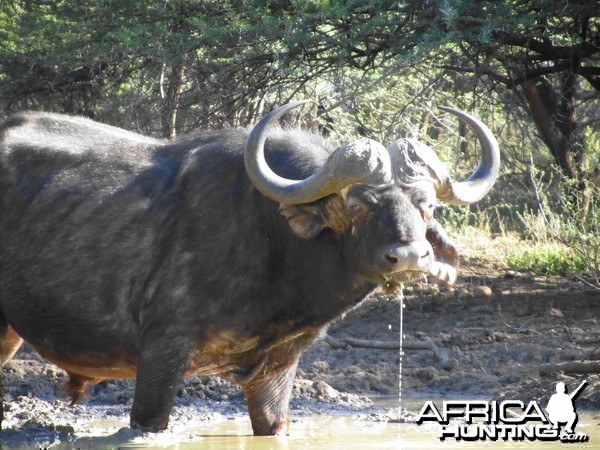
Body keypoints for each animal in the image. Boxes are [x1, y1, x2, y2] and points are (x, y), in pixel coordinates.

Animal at [0, 101, 496, 432]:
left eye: (427, 205)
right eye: (357, 205)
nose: (409, 257)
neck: (275, 242)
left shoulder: (277, 369)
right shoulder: (162, 352)